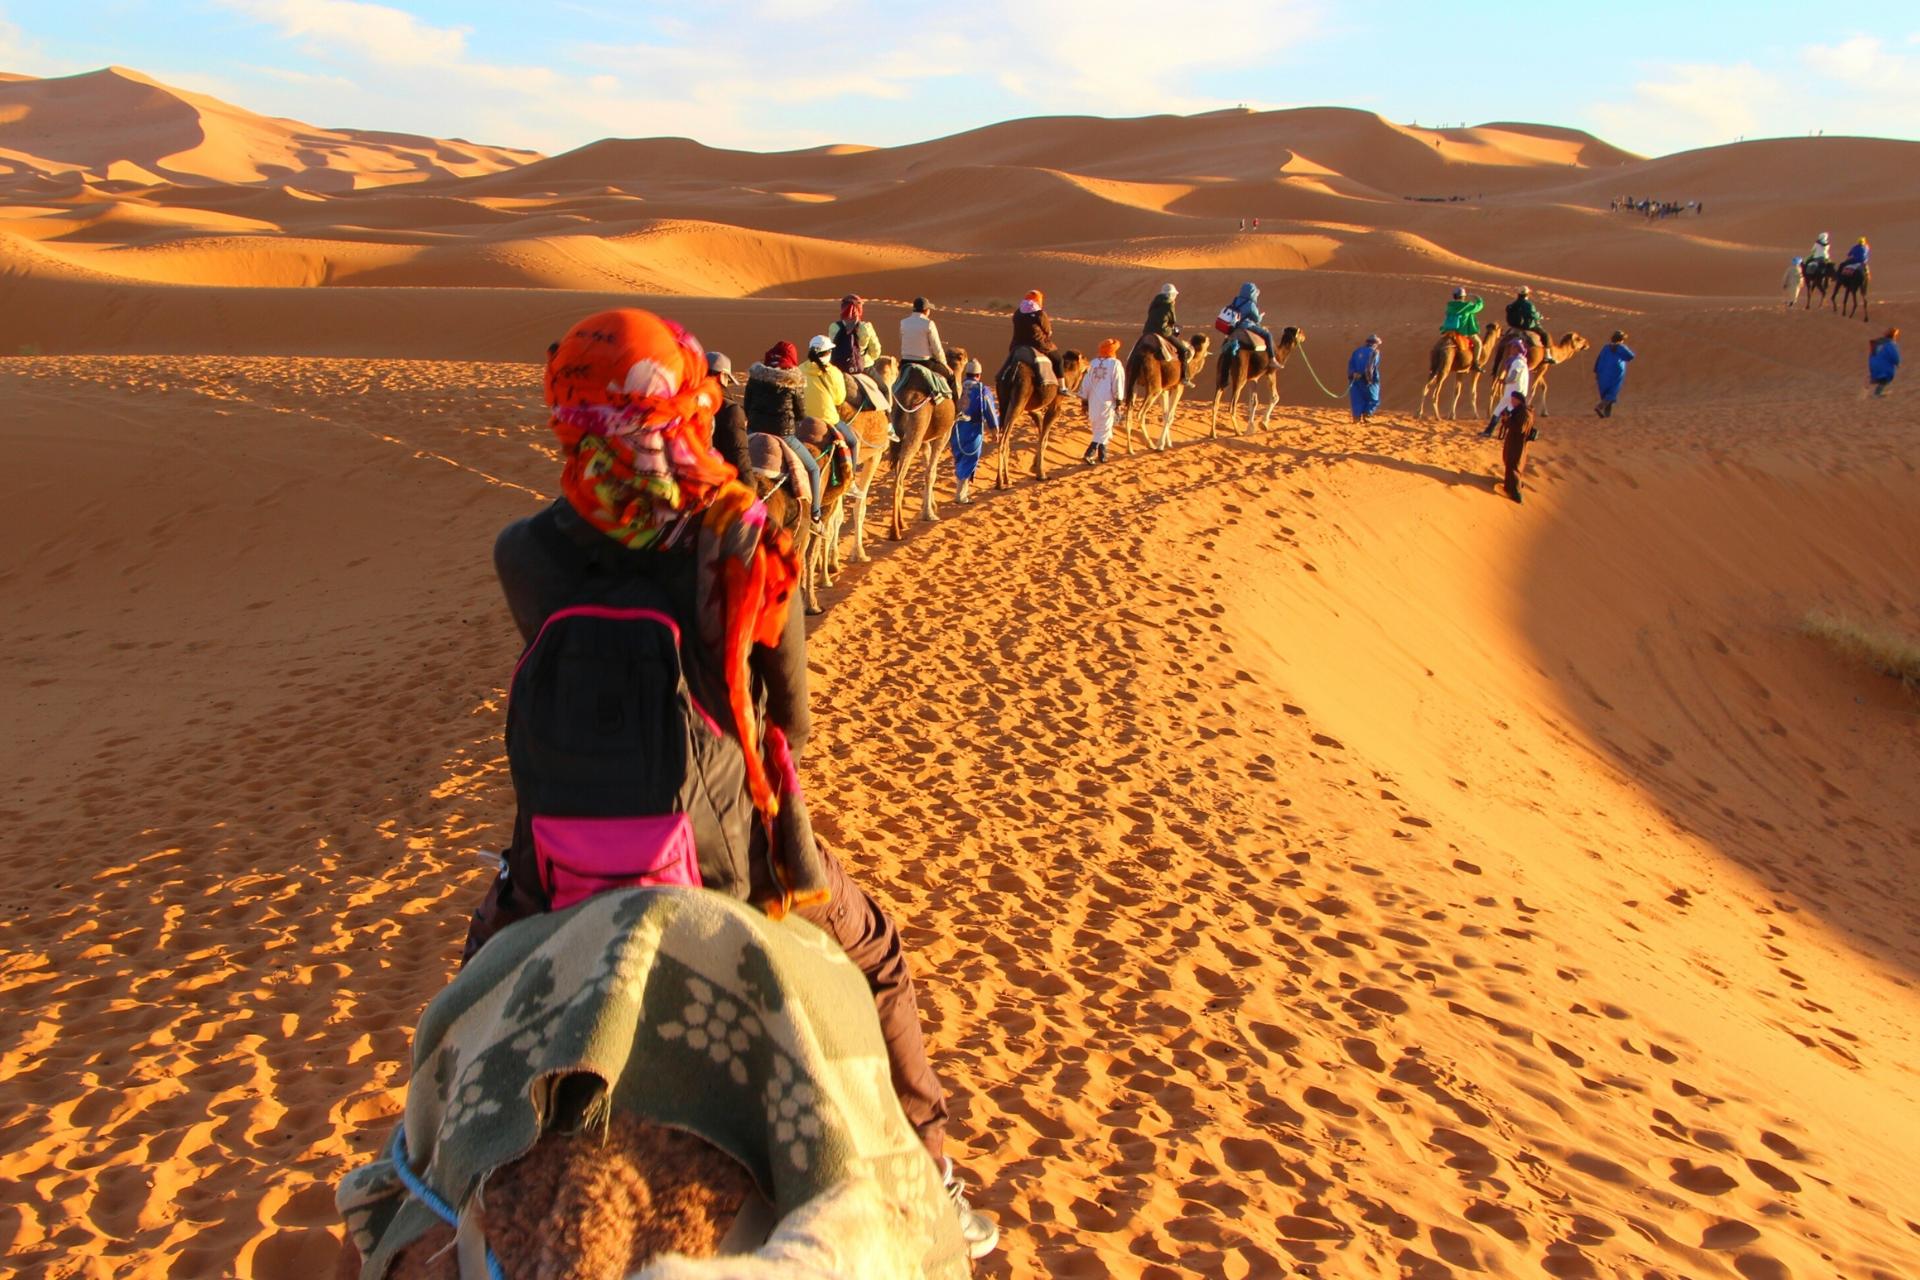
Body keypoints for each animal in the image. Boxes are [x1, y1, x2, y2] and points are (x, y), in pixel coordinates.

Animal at [887, 345, 967, 541]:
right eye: (961, 355)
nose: (966, 354)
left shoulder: (925, 439)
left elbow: (926, 467)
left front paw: (930, 506)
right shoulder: (944, 433)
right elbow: (932, 472)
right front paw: (929, 514)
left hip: (903, 435)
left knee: (898, 476)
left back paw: (901, 523)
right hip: (914, 432)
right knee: (898, 481)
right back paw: (895, 532)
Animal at [998, 347, 1090, 483]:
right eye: (1083, 358)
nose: (1089, 364)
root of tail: (1012, 372)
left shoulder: (1035, 411)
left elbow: (1042, 437)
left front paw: (1034, 467)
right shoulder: (1055, 407)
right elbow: (1043, 439)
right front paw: (1041, 474)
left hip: (1003, 402)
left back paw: (1005, 479)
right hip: (1018, 400)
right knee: (1004, 439)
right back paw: (1001, 482)